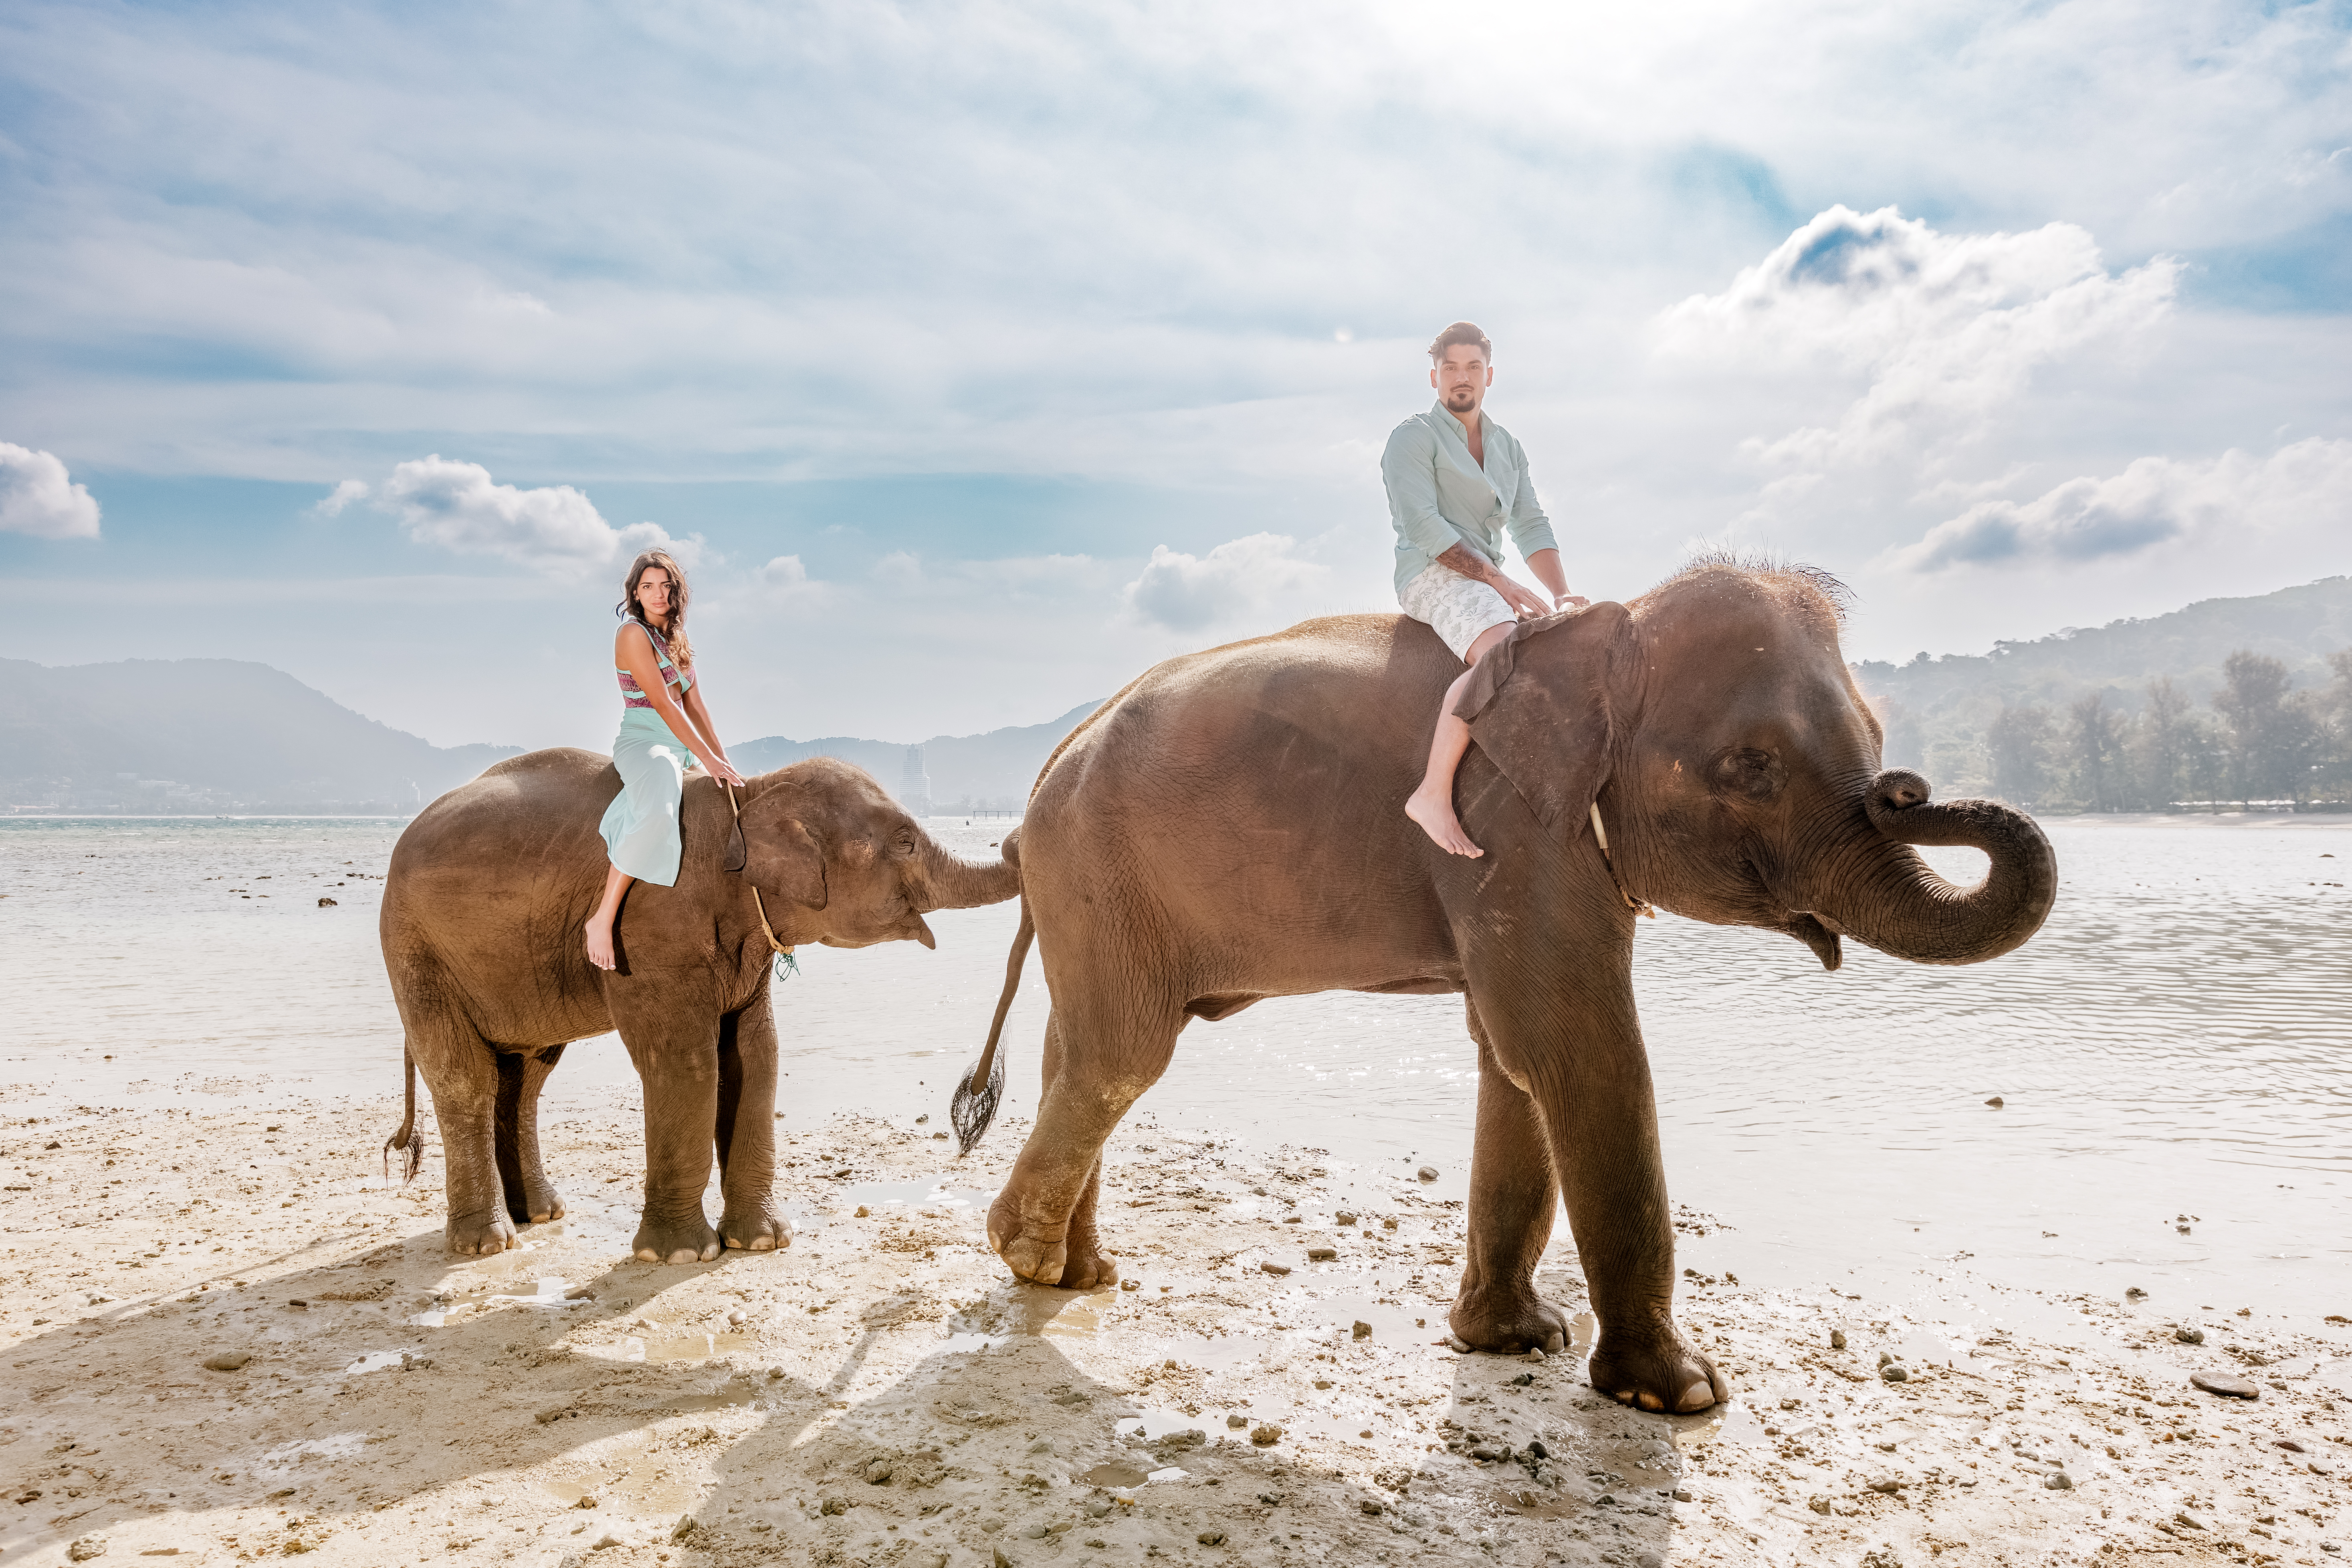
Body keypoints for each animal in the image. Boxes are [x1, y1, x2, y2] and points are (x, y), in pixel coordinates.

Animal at [379, 748, 1019, 1263]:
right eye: (905, 840)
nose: (1013, 840)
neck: (749, 797)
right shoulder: (650, 934)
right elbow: (687, 1064)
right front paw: (681, 1256)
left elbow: (756, 1057)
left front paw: (763, 1241)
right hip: (416, 949)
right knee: (466, 1078)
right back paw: (487, 1244)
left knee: (526, 1076)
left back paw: (541, 1214)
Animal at [958, 559, 2055, 1415]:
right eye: (1751, 767)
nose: (1908, 789)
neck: (1612, 629)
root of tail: (1042, 775)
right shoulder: (1509, 831)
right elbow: (1577, 1054)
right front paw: (1681, 1393)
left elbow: (1514, 1060)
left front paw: (1515, 1340)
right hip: (1099, 875)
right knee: (1121, 1055)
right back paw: (1028, 1257)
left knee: (1077, 1052)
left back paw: (1076, 1269)